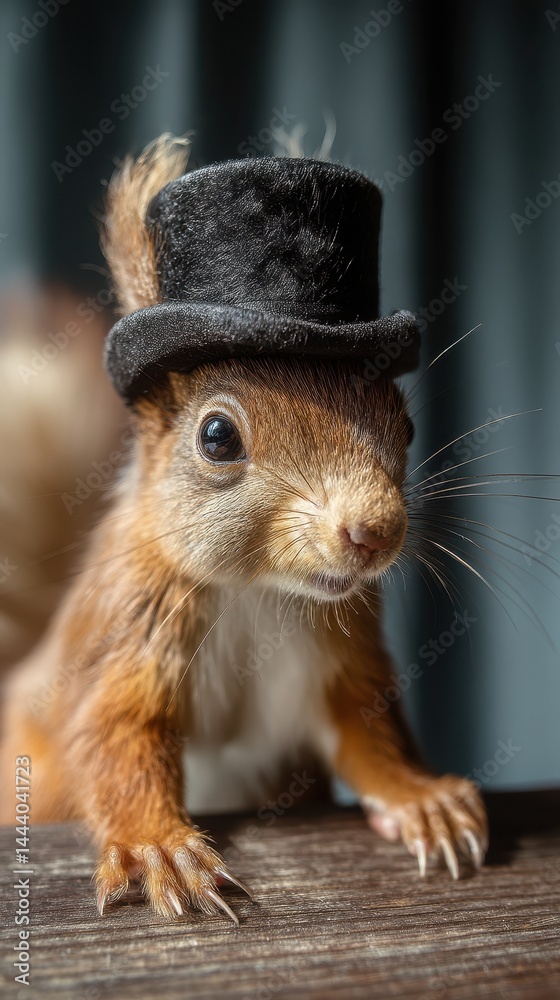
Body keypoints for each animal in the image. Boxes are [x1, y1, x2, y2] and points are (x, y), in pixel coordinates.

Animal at [0, 137, 487, 924]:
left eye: (407, 426)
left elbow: (367, 730)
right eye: (218, 437)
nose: (375, 532)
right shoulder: (132, 621)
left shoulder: (339, 650)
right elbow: (112, 734)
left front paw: (421, 799)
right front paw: (157, 846)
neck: (257, 591)